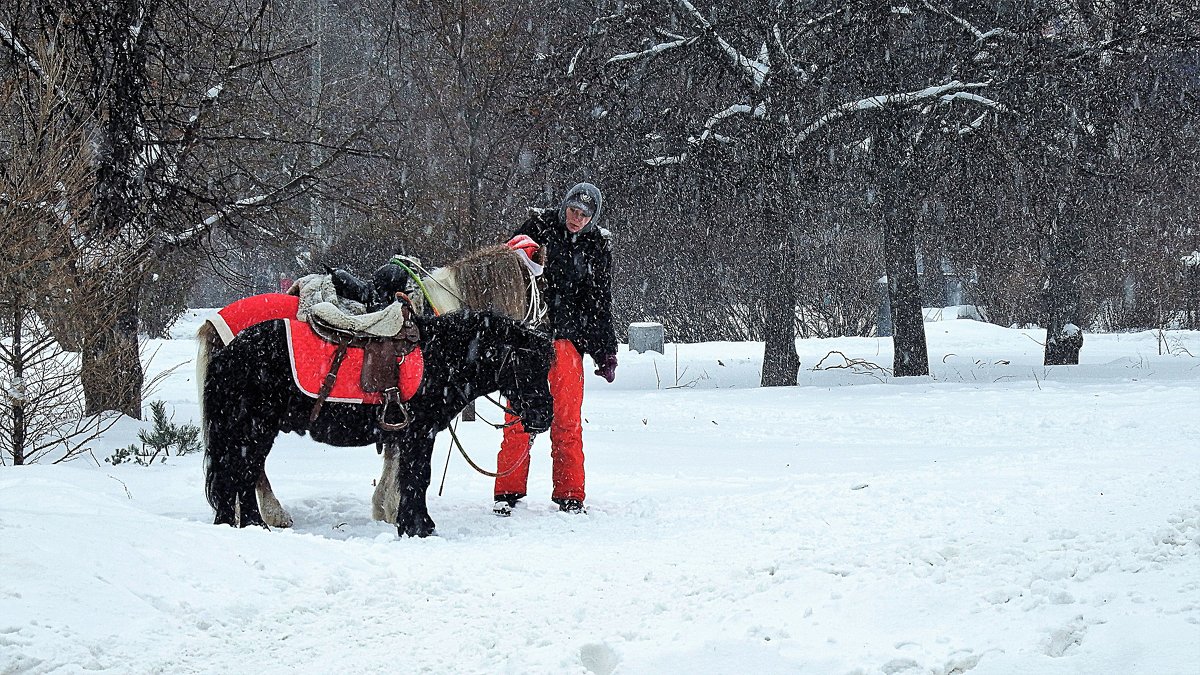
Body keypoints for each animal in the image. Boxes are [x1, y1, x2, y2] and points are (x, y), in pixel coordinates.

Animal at [201, 309, 552, 535]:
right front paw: (417, 526)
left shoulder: (407, 436)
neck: (442, 358)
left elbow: (404, 476)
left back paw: (250, 523)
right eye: (527, 364)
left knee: (242, 475)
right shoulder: (419, 433)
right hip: (253, 429)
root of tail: (228, 352)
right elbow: (417, 477)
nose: (544, 416)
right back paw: (253, 524)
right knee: (242, 474)